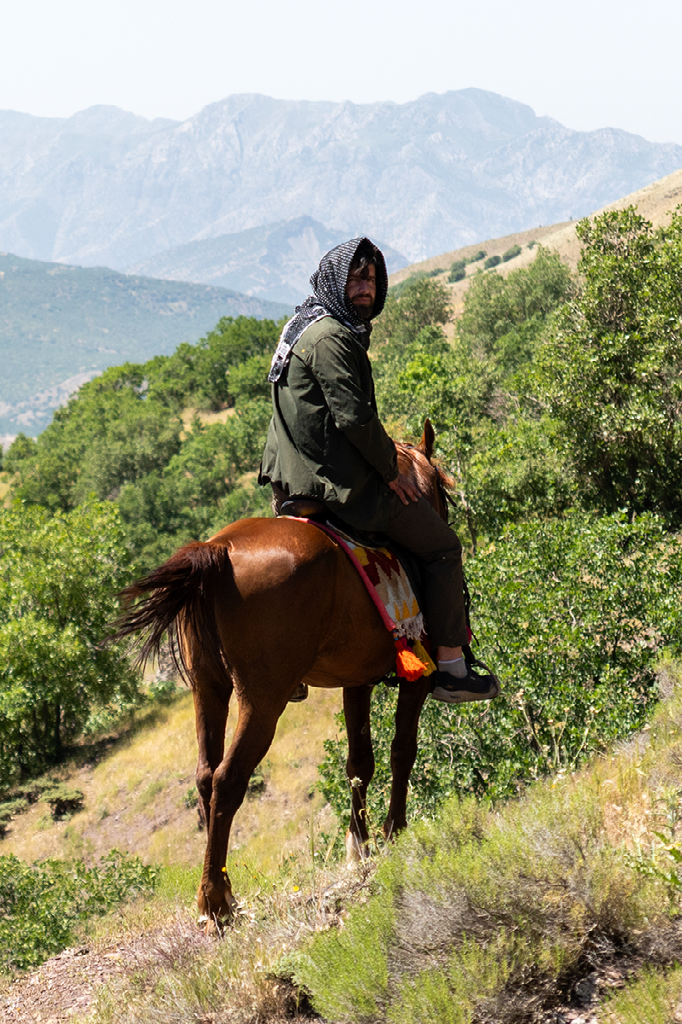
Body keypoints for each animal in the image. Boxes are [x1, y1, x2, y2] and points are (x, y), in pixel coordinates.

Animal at [114, 420, 452, 930]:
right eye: (444, 493)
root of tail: (217, 549)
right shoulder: (417, 677)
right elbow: (402, 751)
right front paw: (395, 830)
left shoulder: (356, 680)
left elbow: (359, 764)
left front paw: (360, 846)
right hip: (262, 700)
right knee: (228, 780)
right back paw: (214, 903)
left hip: (209, 688)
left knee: (205, 775)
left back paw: (223, 892)